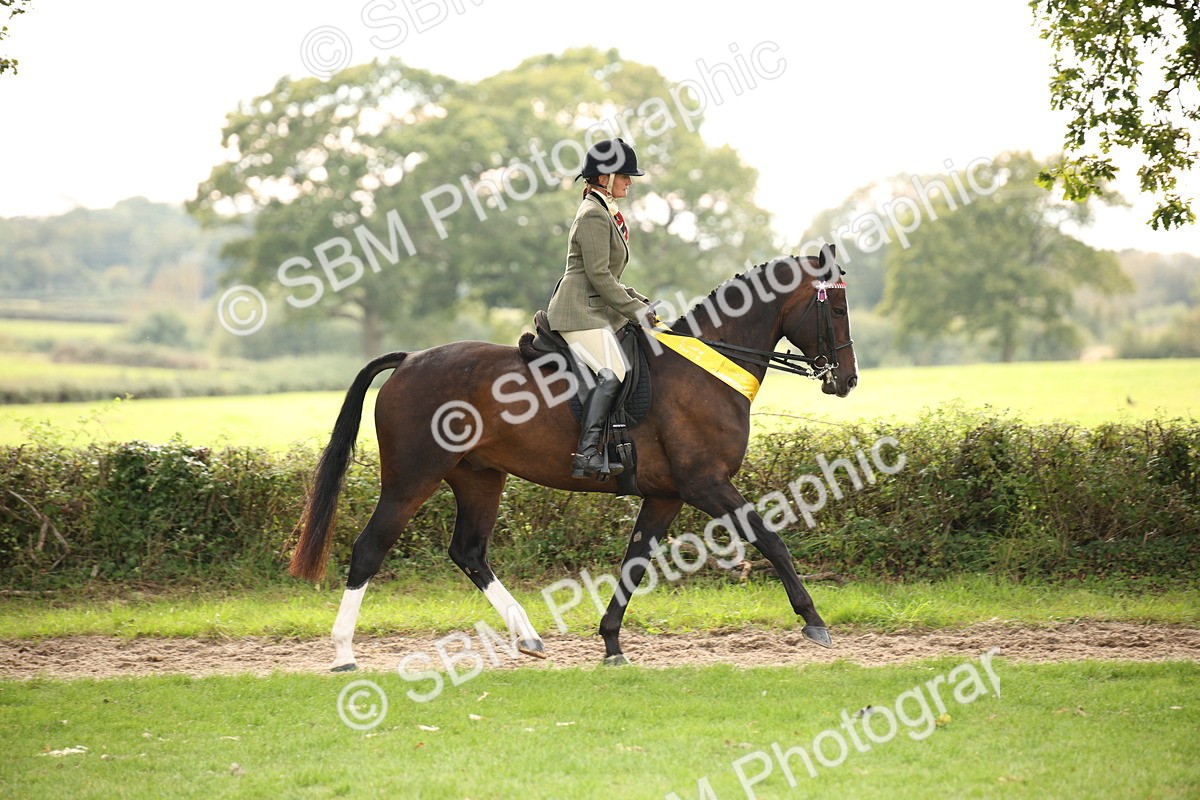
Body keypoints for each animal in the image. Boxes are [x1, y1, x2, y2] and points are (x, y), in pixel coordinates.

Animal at [289, 246, 858, 670]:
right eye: (835, 309)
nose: (847, 381)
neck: (709, 365)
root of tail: (408, 360)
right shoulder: (707, 484)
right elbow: (771, 540)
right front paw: (813, 621)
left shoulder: (667, 496)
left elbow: (633, 563)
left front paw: (611, 642)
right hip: (412, 478)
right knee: (370, 549)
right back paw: (343, 654)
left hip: (478, 478)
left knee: (468, 552)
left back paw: (528, 636)